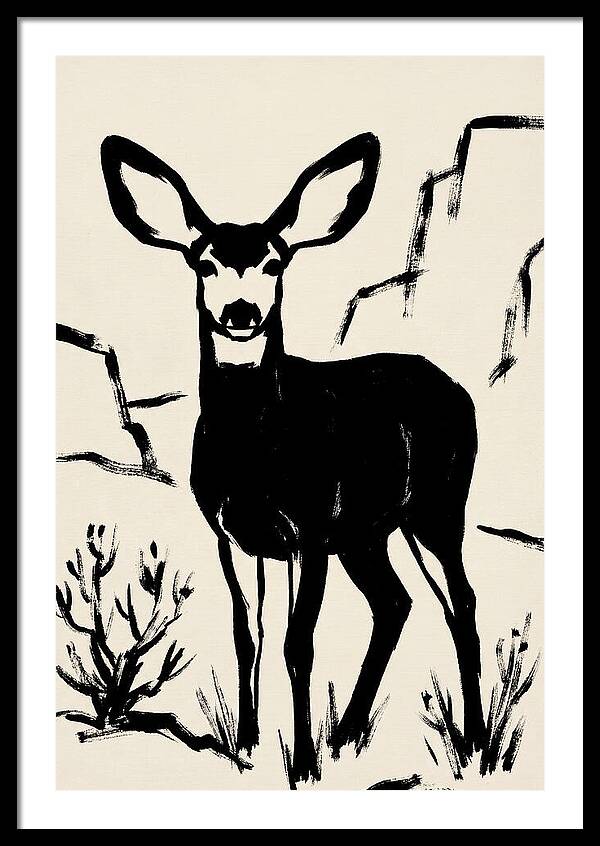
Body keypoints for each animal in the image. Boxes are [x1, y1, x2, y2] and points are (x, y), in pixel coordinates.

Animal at [100, 132, 486, 783]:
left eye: (274, 262)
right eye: (204, 262)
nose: (241, 313)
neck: (256, 452)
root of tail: (457, 390)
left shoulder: (308, 530)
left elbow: (297, 644)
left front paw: (302, 765)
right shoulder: (230, 533)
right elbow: (246, 637)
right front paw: (249, 746)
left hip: (436, 507)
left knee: (461, 604)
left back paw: (476, 746)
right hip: (366, 532)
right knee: (396, 602)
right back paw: (349, 734)